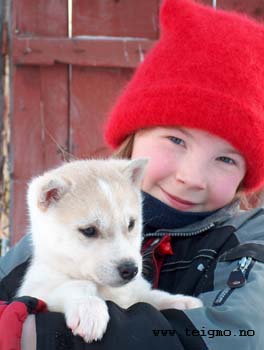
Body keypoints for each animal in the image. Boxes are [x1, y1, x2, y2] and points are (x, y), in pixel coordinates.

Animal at [17, 160, 202, 344]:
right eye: (89, 230)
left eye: (131, 224)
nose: (131, 270)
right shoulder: (36, 292)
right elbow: (76, 285)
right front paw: (89, 308)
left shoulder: (134, 291)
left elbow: (150, 296)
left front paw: (182, 301)